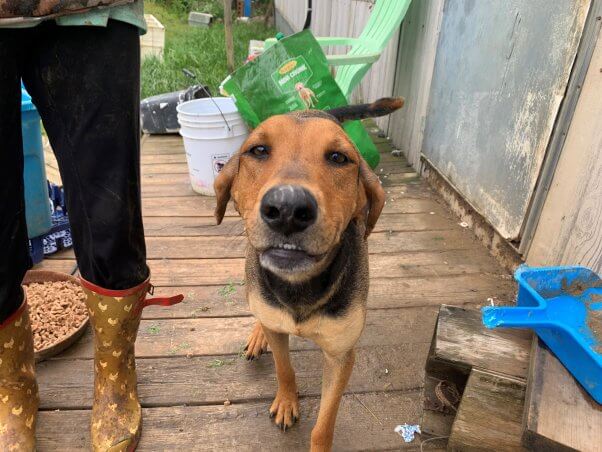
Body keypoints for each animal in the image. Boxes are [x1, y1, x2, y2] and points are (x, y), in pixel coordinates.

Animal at [213, 97, 400, 450]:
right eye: (258, 150)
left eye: (339, 158)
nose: (287, 209)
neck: (298, 287)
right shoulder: (277, 326)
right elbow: (284, 368)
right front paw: (287, 401)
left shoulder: (341, 356)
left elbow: (324, 425)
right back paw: (259, 333)